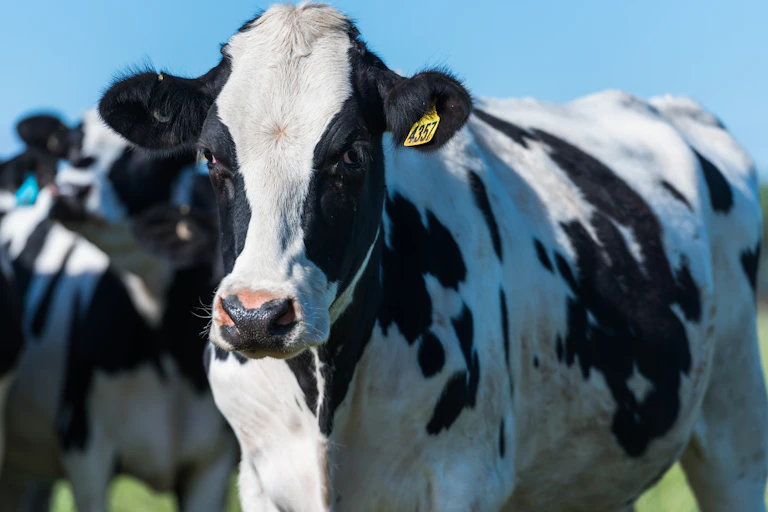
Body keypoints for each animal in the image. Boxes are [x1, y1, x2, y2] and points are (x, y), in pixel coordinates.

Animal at [98, 3, 768, 511]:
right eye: (211, 157)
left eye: (351, 155)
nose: (257, 315)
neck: (328, 396)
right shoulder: (260, 481)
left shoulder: (464, 480)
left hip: (736, 430)